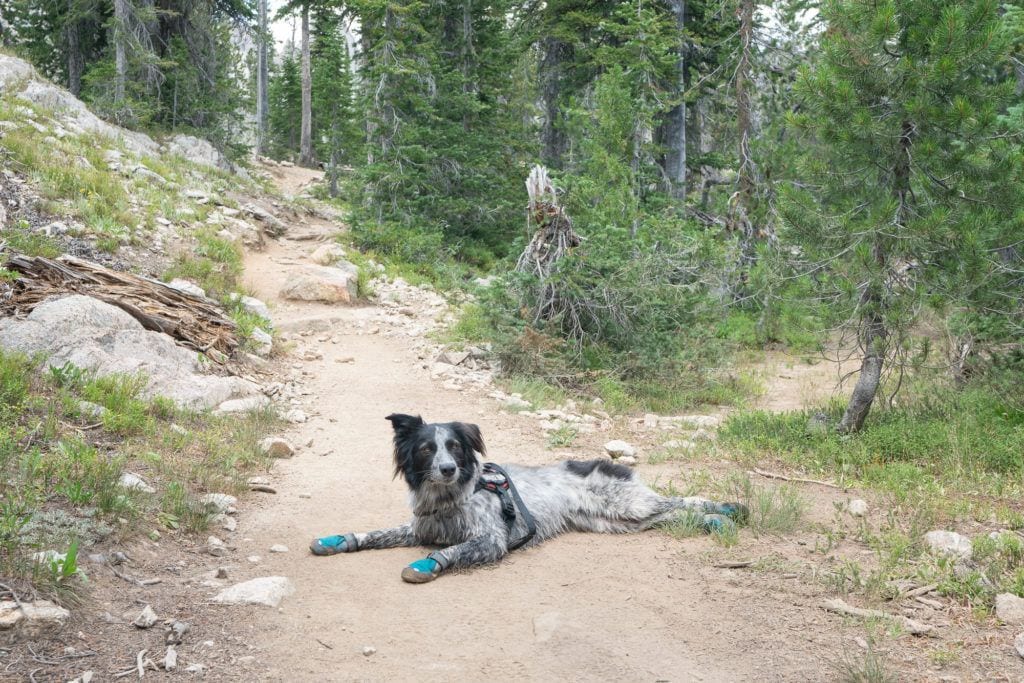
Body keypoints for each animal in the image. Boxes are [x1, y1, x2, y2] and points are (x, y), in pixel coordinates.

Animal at [303, 413, 745, 585]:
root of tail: (610, 464)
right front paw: (340, 540)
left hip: (627, 505)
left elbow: (450, 551)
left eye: (454, 447)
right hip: (614, 522)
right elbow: (377, 533)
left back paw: (727, 510)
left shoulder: (491, 540)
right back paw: (716, 521)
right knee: (667, 517)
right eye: (428, 449)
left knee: (680, 501)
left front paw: (427, 565)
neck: (451, 497)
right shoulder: (420, 527)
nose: (447, 469)